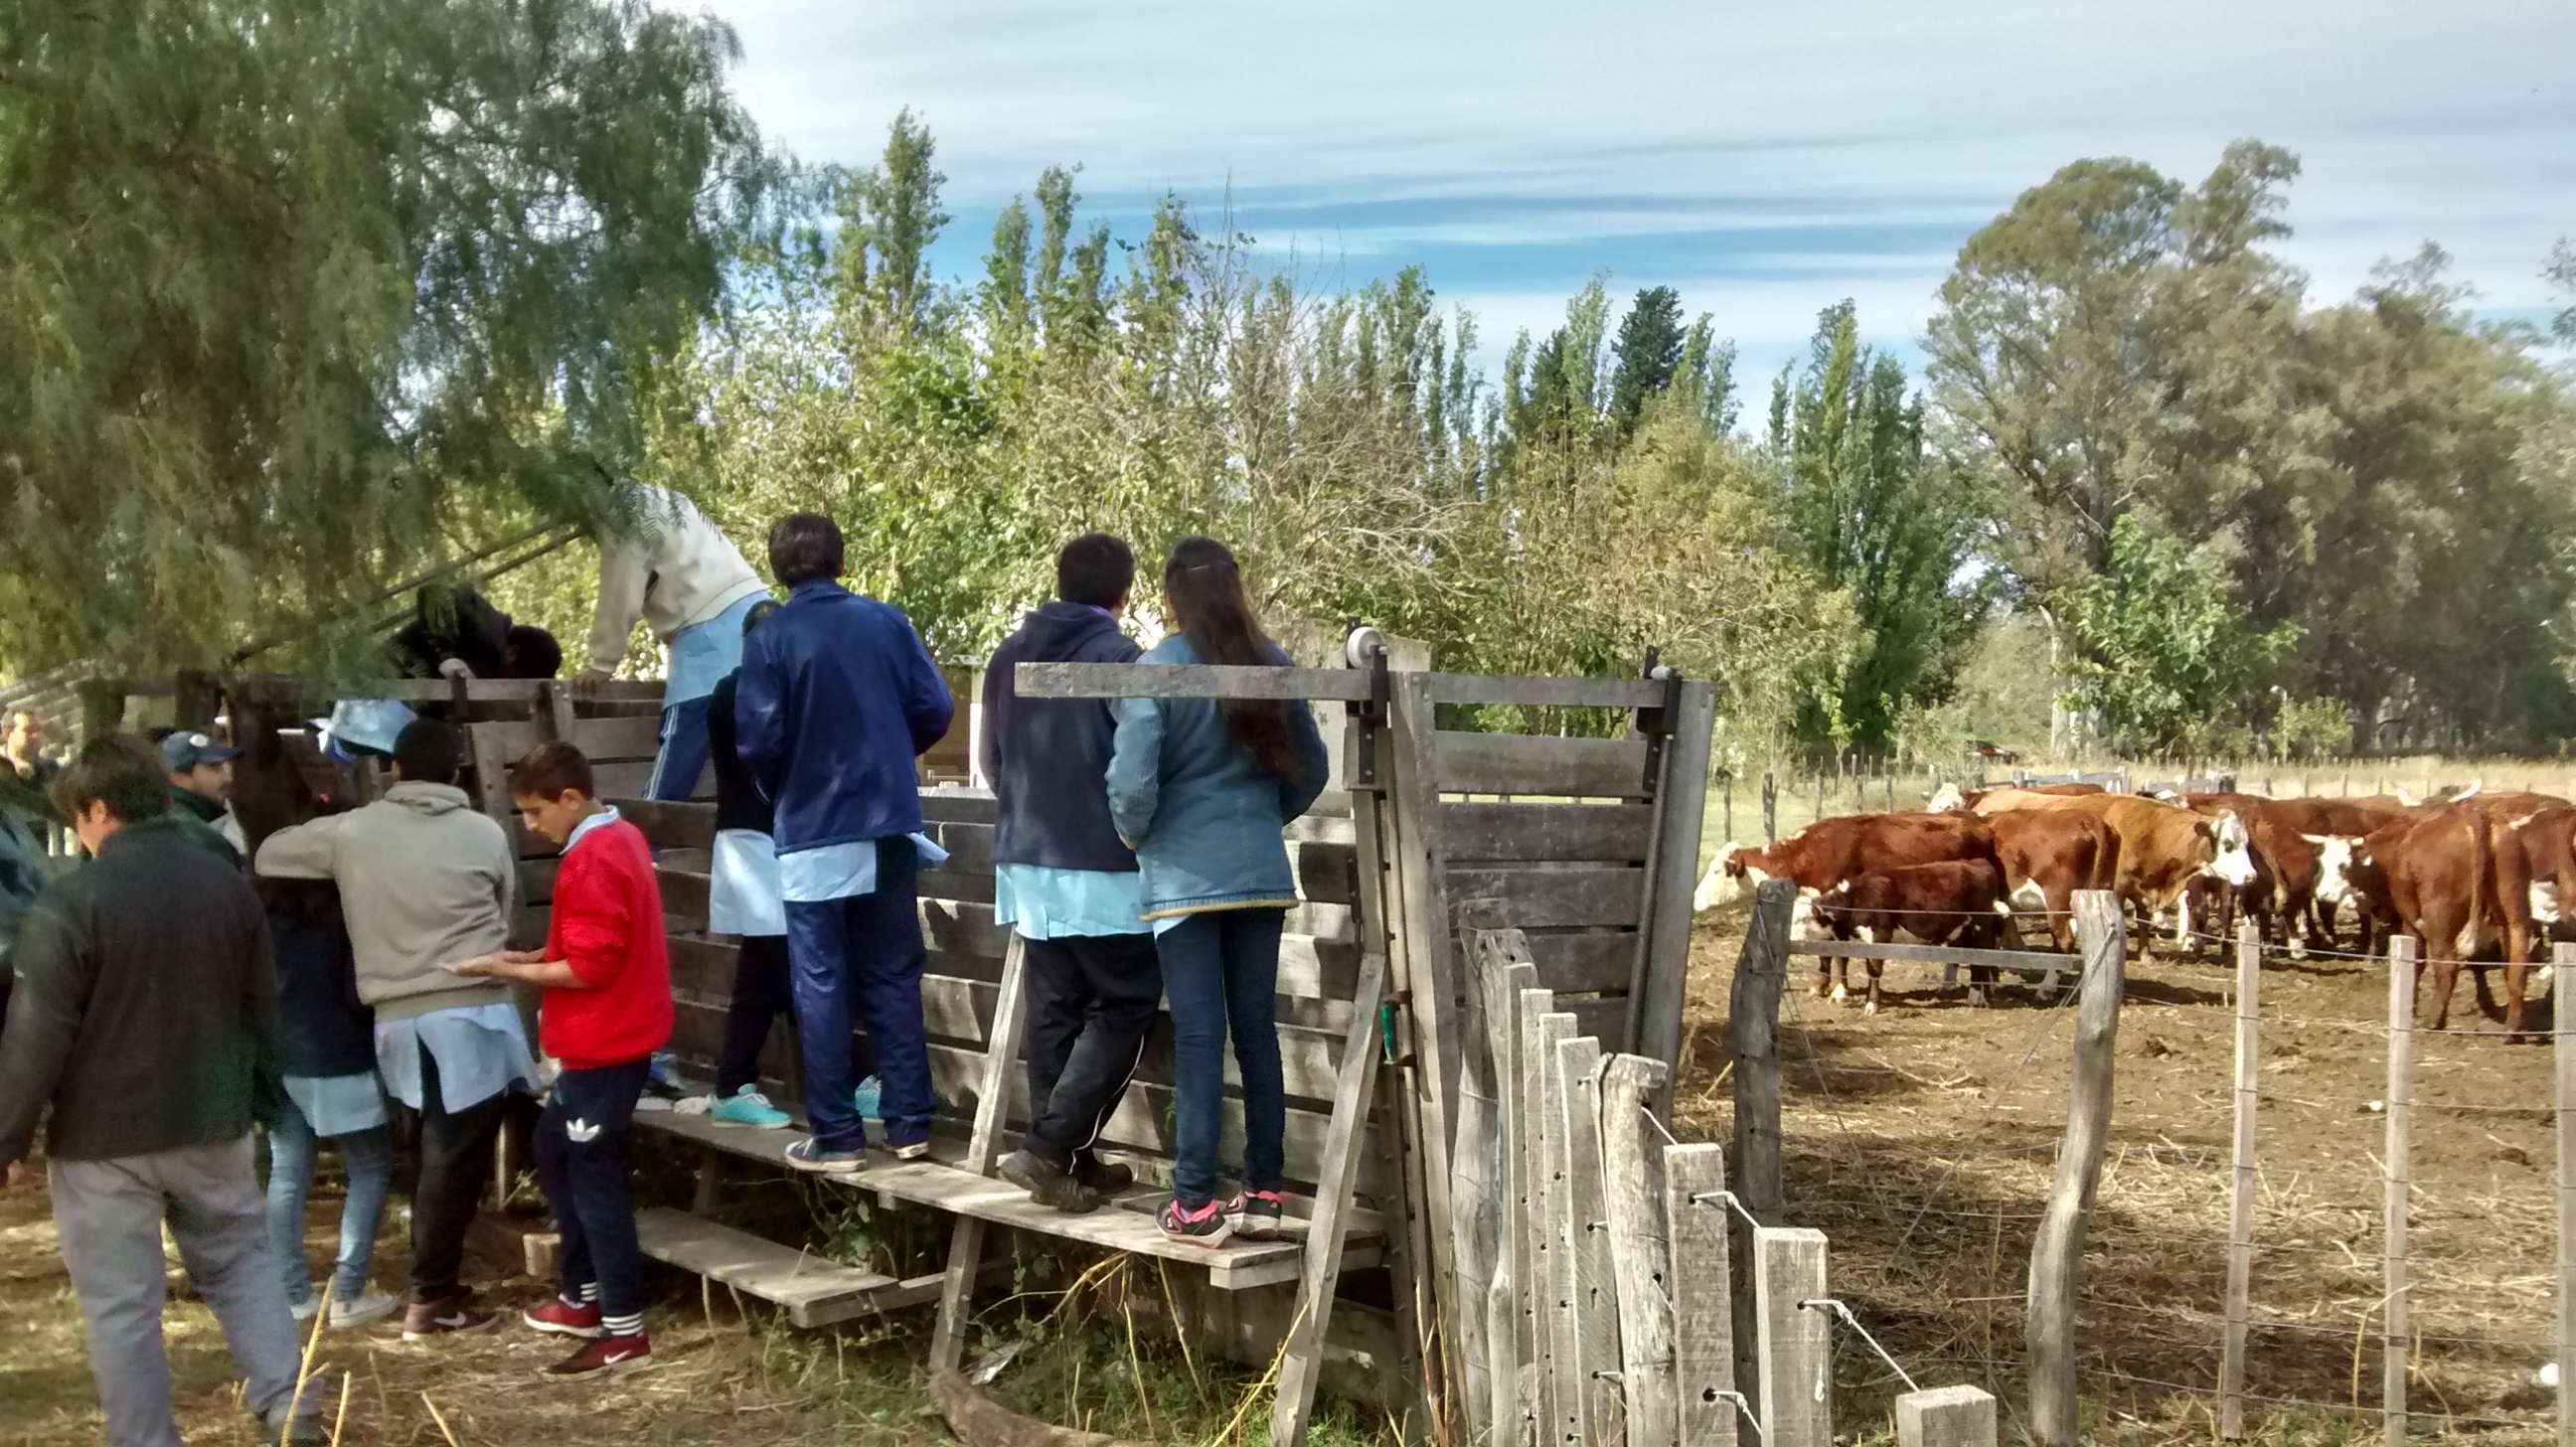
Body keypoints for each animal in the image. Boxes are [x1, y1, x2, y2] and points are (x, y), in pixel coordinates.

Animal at [1813, 849, 2009, 1009]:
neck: (1856, 897)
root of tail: (1977, 862)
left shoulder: (1880, 935)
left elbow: (1874, 970)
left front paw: (1871, 1005)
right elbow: (1842, 961)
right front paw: (1838, 995)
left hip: (1981, 928)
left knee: (1983, 962)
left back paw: (1983, 999)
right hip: (1965, 931)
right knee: (1975, 962)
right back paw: (1974, 998)